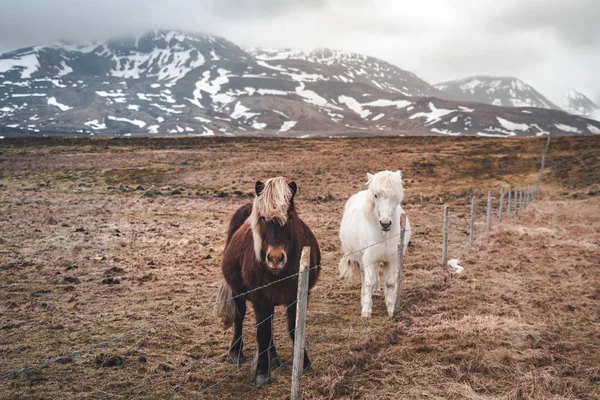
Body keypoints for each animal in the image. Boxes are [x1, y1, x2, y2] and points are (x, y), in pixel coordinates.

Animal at [214, 177, 322, 386]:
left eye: (290, 217)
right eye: (263, 218)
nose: (275, 258)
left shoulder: (297, 296)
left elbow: (295, 328)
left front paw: (304, 364)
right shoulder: (260, 299)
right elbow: (262, 334)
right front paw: (262, 373)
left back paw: (273, 356)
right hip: (238, 293)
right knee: (240, 317)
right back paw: (236, 352)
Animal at [340, 170, 410, 318]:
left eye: (394, 196)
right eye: (376, 195)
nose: (385, 223)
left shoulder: (392, 259)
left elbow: (390, 283)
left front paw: (390, 309)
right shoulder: (368, 259)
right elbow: (368, 282)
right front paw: (366, 311)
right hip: (361, 259)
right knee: (363, 277)